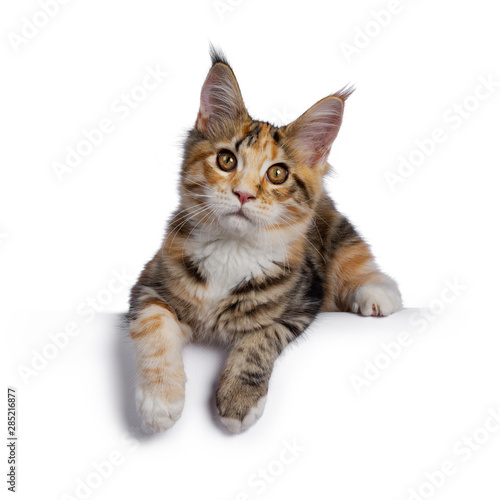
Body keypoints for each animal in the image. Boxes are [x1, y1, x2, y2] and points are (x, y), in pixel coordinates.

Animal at [129, 47, 402, 434]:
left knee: (359, 262)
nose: (243, 194)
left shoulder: (300, 303)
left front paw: (238, 399)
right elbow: (155, 329)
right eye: (226, 160)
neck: (232, 248)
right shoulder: (149, 285)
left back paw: (376, 293)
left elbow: (259, 339)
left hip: (335, 230)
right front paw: (160, 400)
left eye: (277, 173)